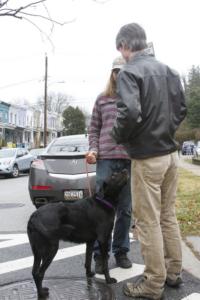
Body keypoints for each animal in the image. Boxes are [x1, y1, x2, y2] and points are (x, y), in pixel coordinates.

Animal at [26, 169, 128, 298]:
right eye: (114, 175)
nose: (125, 170)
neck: (103, 201)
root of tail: (34, 217)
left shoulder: (90, 241)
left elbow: (88, 260)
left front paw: (89, 274)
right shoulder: (103, 239)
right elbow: (105, 263)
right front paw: (109, 280)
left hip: (37, 250)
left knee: (34, 272)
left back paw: (41, 290)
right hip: (51, 248)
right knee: (40, 273)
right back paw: (42, 294)